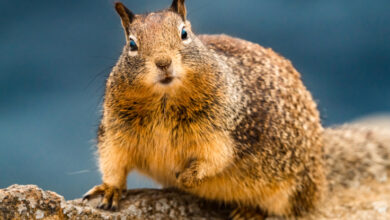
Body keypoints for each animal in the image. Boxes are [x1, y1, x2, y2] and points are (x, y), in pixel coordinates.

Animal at [84, 0, 326, 218]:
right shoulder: (114, 131)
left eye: (184, 33)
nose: (163, 62)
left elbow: (215, 158)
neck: (164, 101)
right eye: (132, 44)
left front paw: (186, 177)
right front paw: (110, 189)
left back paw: (249, 212)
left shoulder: (223, 131)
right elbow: (113, 161)